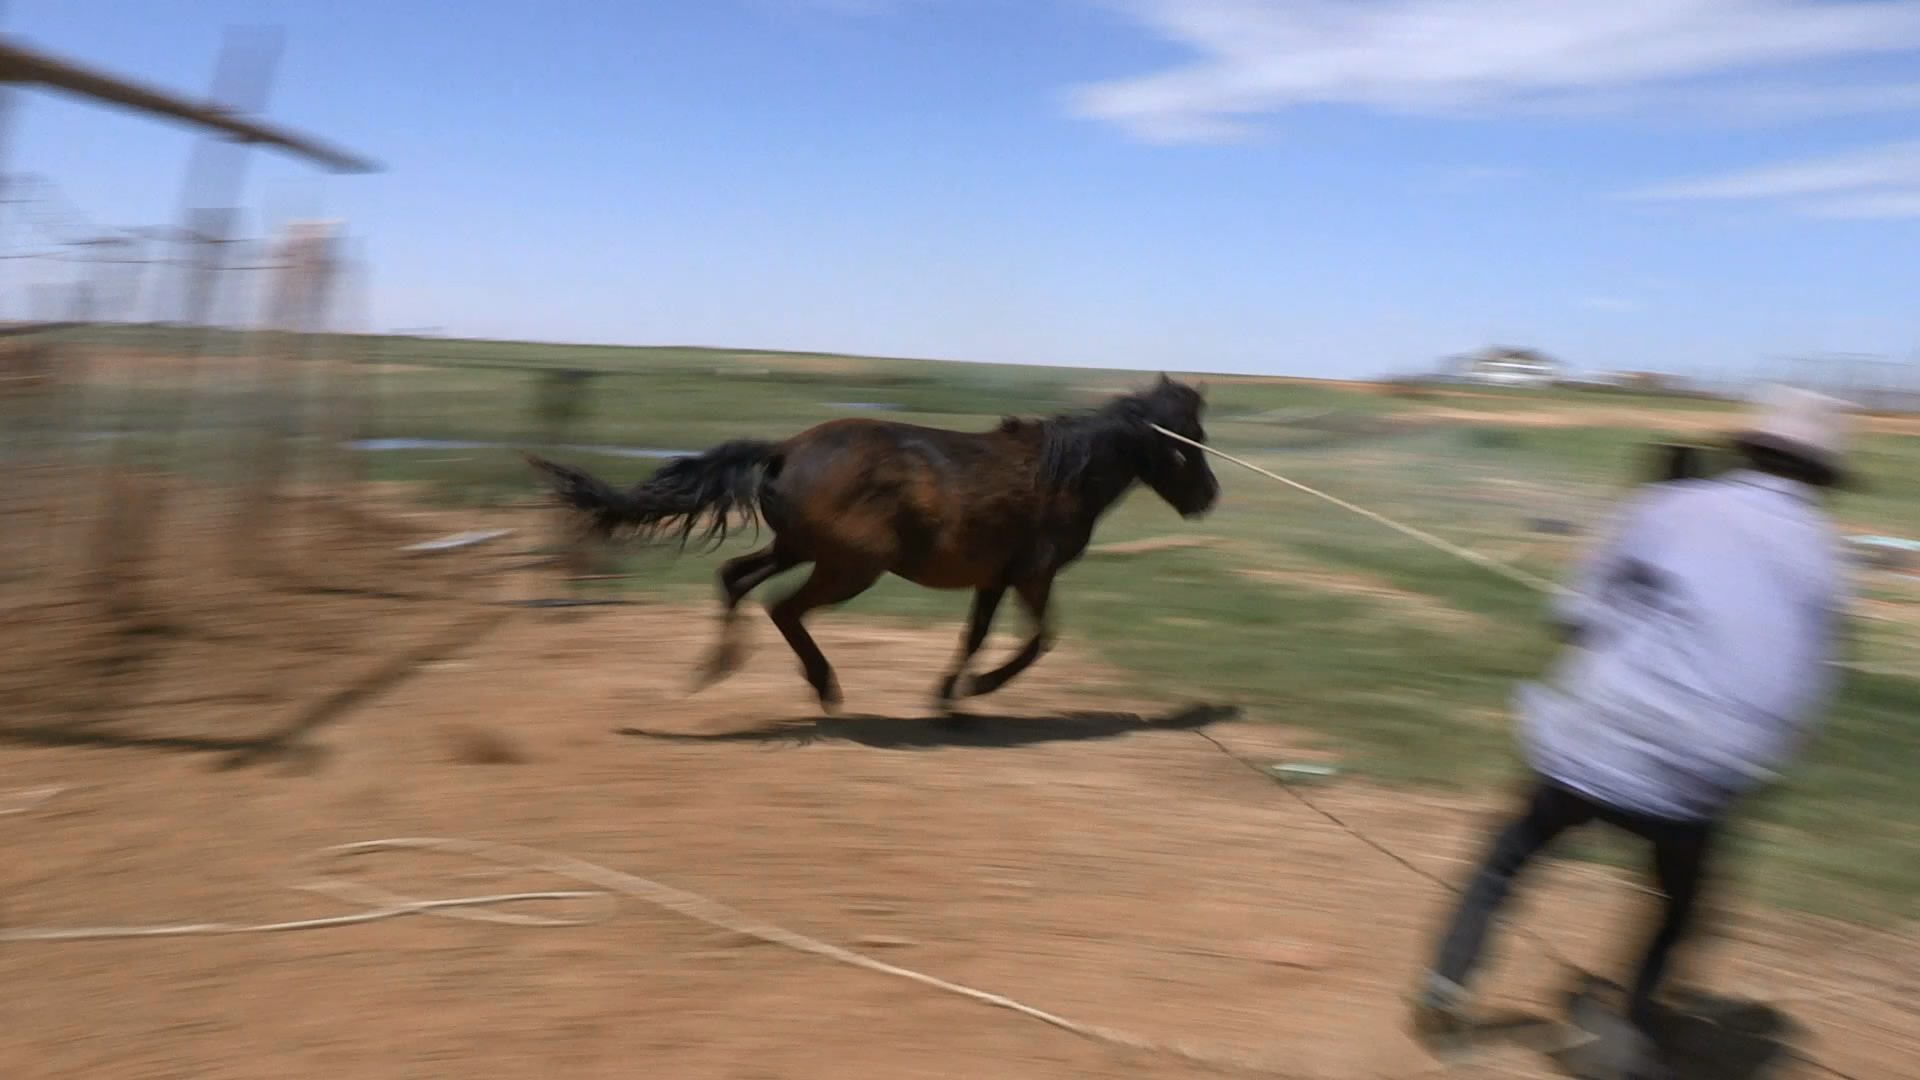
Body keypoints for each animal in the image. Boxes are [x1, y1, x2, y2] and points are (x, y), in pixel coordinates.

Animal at [526, 374, 1213, 711]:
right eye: (1191, 440)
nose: (1209, 497)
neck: (1062, 474)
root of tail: (786, 448)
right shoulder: (1033, 575)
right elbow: (1039, 640)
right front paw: (977, 690)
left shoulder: (995, 578)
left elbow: (976, 637)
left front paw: (947, 696)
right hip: (848, 567)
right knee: (782, 607)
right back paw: (823, 686)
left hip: (800, 549)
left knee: (734, 580)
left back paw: (716, 668)